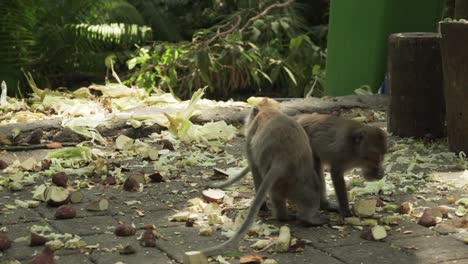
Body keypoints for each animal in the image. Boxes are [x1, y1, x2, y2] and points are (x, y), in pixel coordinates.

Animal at [200, 99, 326, 256]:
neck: (268, 110)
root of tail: (283, 159)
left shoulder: (250, 137)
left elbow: (254, 167)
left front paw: (263, 207)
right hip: (300, 177)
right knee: (311, 190)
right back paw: (307, 218)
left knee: (274, 193)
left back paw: (283, 216)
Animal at [211, 112, 388, 218]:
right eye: (375, 155)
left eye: (382, 155)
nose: (379, 166)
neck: (354, 149)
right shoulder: (341, 152)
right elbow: (336, 175)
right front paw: (346, 211)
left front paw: (379, 174)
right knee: (315, 167)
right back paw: (322, 204)